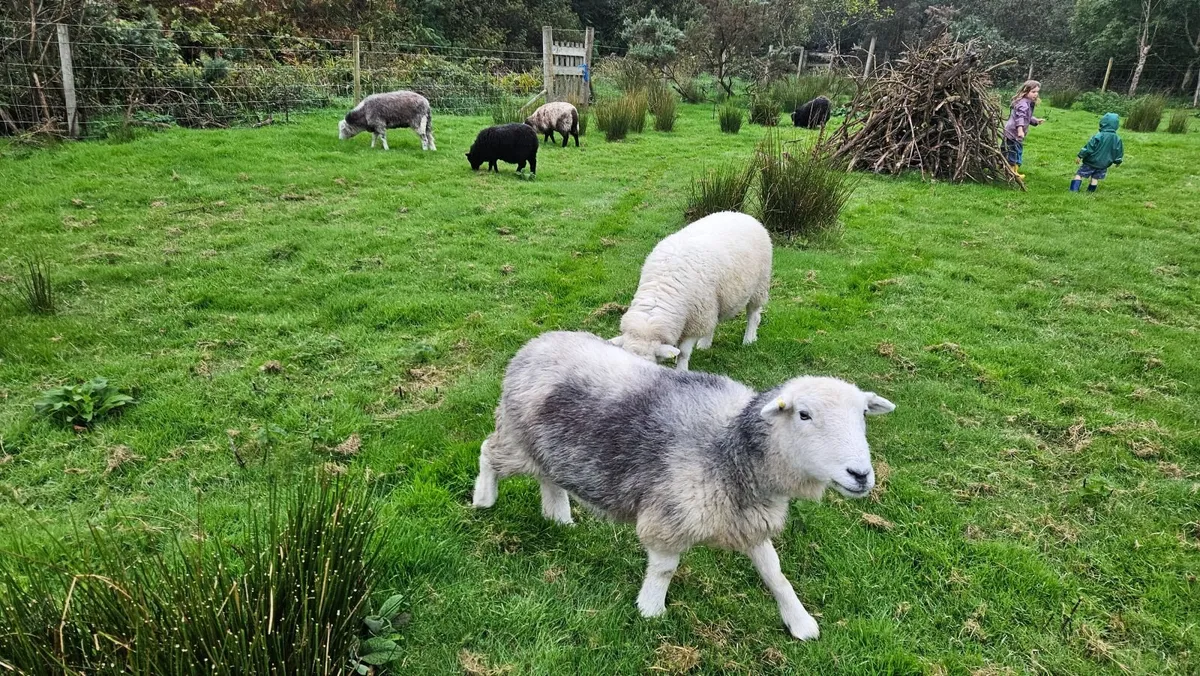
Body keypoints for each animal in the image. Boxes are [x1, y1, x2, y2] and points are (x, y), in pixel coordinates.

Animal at [472, 330, 895, 640]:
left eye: (863, 415)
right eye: (804, 415)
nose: (861, 475)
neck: (733, 450)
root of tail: (535, 343)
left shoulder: (748, 519)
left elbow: (775, 573)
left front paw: (800, 621)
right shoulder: (670, 515)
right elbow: (664, 568)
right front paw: (650, 611)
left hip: (550, 447)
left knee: (549, 477)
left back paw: (558, 516)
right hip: (516, 438)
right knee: (487, 451)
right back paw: (484, 499)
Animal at [611, 211, 771, 371]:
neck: (662, 288)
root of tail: (742, 214)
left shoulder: (696, 320)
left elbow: (683, 352)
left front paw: (681, 369)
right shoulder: (697, 313)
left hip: (759, 285)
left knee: (753, 315)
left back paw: (749, 339)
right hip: (714, 302)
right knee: (714, 321)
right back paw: (705, 344)